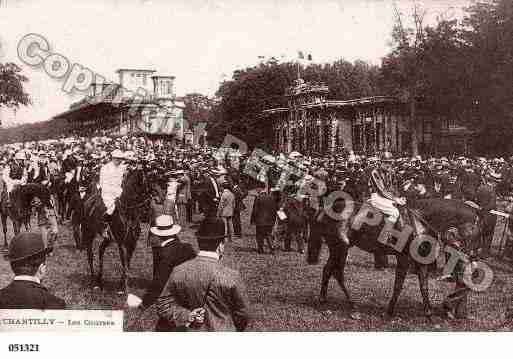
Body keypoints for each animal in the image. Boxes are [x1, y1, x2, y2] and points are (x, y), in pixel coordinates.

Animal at [308, 195, 480, 320]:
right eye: (473, 230)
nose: (472, 254)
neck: (419, 221)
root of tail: (325, 209)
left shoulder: (420, 260)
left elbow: (423, 286)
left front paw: (428, 313)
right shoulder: (403, 259)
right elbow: (398, 285)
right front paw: (389, 311)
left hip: (338, 248)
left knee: (329, 270)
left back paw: (328, 301)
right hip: (340, 247)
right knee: (336, 272)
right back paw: (348, 305)